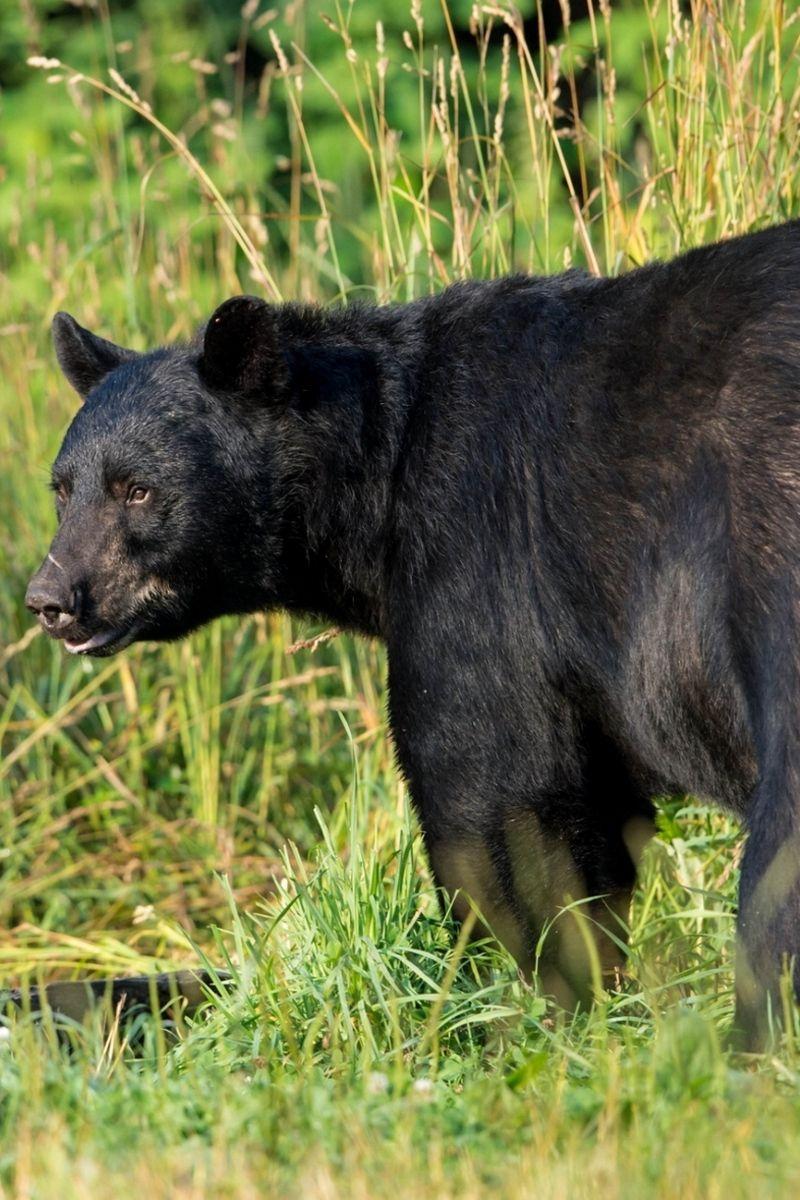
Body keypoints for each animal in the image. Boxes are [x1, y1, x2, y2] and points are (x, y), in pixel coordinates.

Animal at [25, 220, 800, 1048]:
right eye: (63, 488)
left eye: (137, 489)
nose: (52, 598)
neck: (380, 473)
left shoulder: (480, 554)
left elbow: (495, 790)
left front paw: (546, 1002)